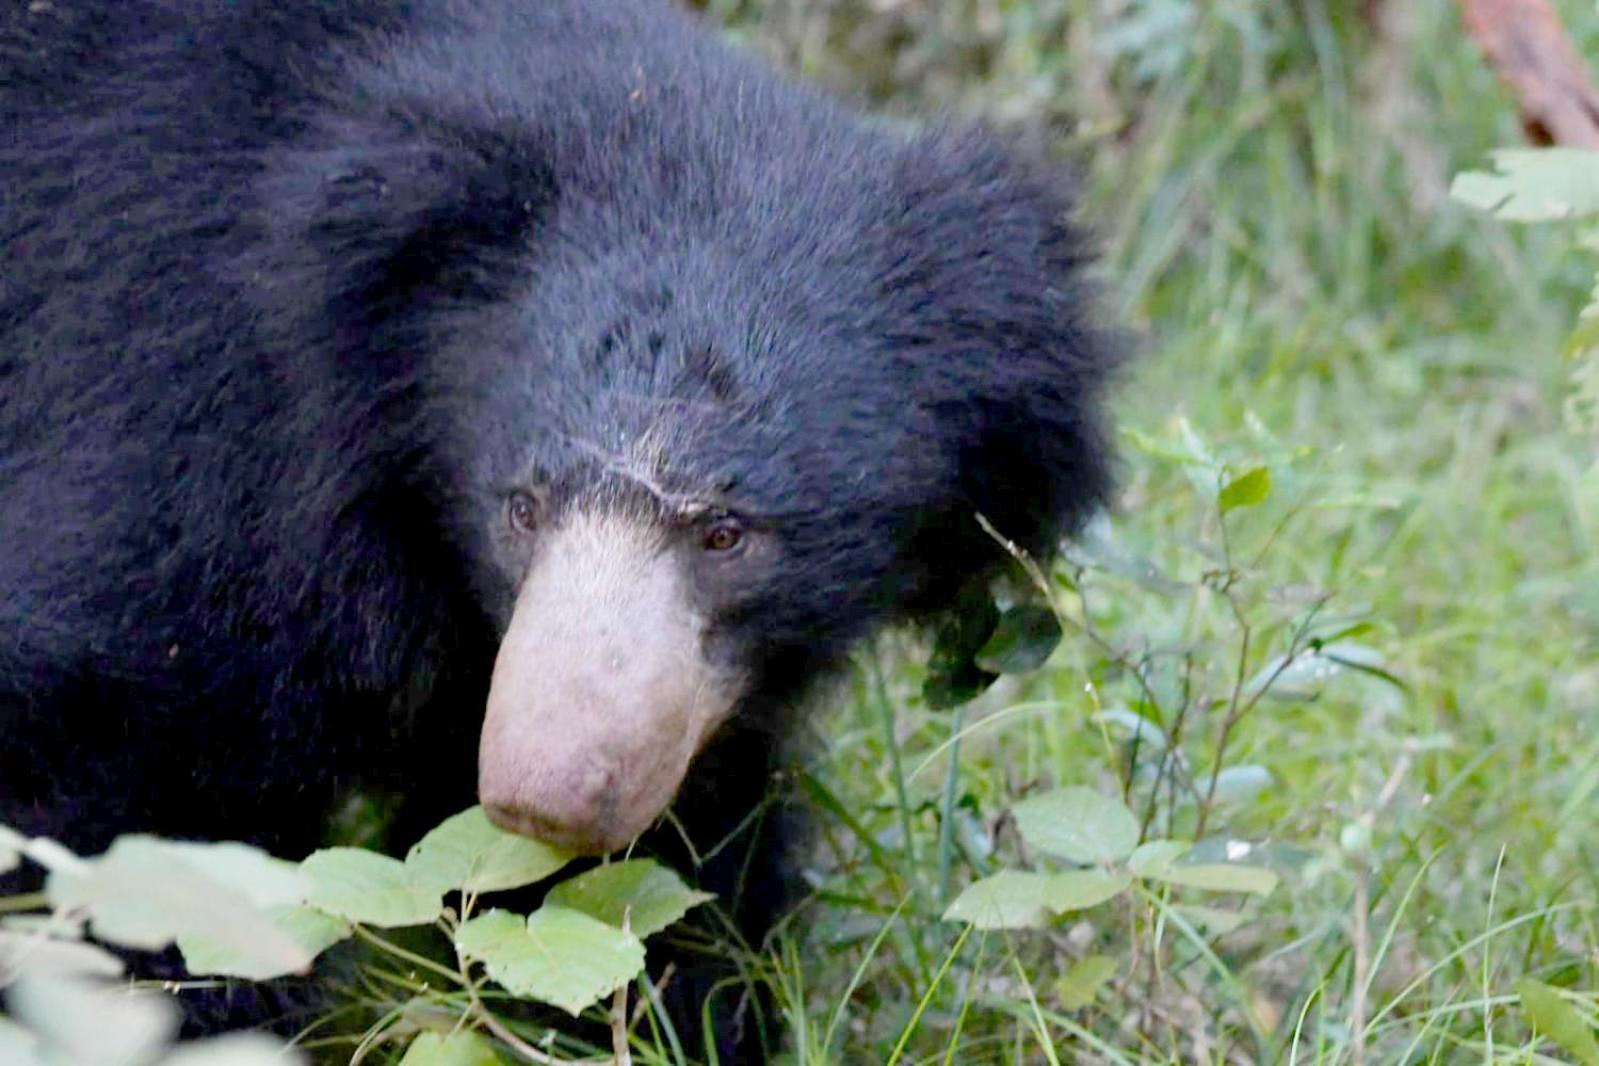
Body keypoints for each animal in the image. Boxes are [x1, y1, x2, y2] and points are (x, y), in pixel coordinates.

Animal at [0, 0, 1112, 1048]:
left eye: (727, 533)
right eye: (521, 508)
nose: (547, 792)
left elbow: (658, 876)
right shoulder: (184, 406)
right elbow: (121, 778)